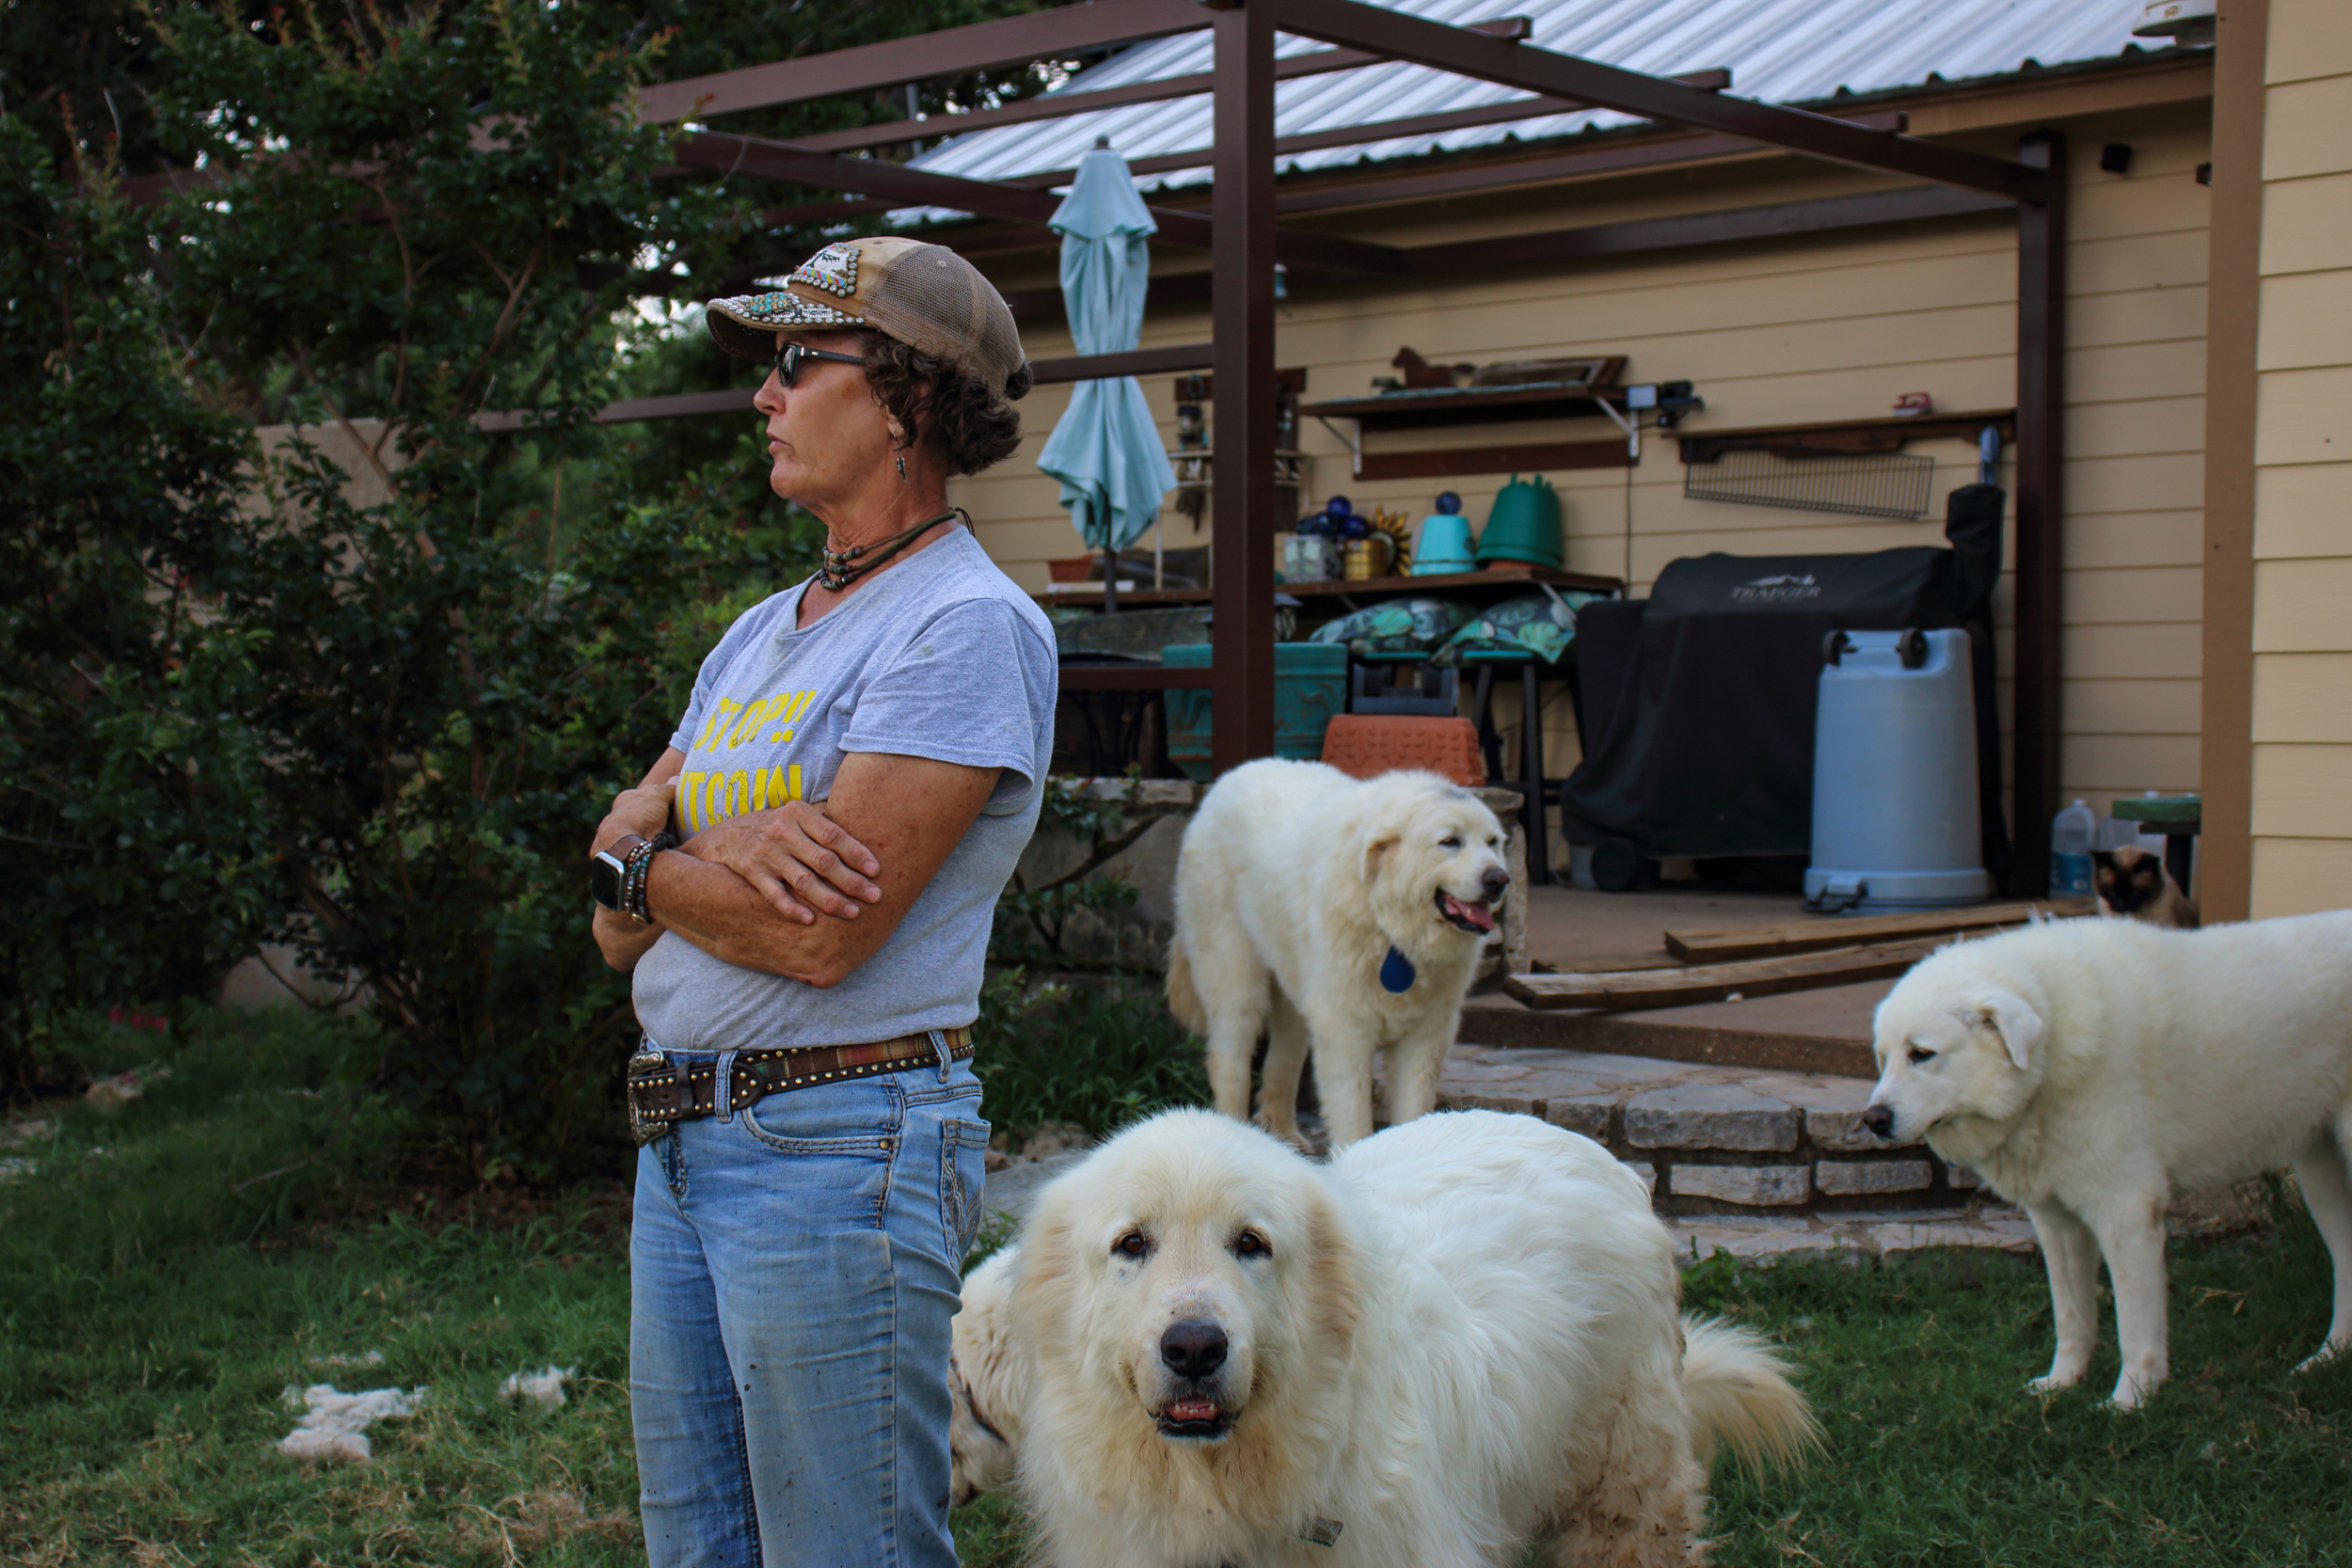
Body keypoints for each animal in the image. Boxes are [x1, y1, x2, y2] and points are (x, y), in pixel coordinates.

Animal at [1171, 761, 1505, 1151]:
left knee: (1281, 1061)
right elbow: (1352, 1114)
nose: (1499, 879)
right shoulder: (1346, 1030)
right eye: (1450, 841)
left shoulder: (1426, 1035)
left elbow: (1413, 1108)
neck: (1391, 931)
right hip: (1235, 978)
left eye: (1493, 842)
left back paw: (1285, 1137)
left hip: (1295, 989)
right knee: (1230, 1061)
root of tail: (1226, 779)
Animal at [1863, 907, 2352, 1410]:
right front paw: (2060, 1385)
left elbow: (2134, 1327)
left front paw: (2130, 1403)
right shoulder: (2055, 1221)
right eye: (1883, 1059)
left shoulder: (2127, 1211)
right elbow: (2072, 1316)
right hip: (2322, 1178)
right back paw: (2326, 1359)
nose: (1872, 1120)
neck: (2050, 1045)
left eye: (1922, 1054)